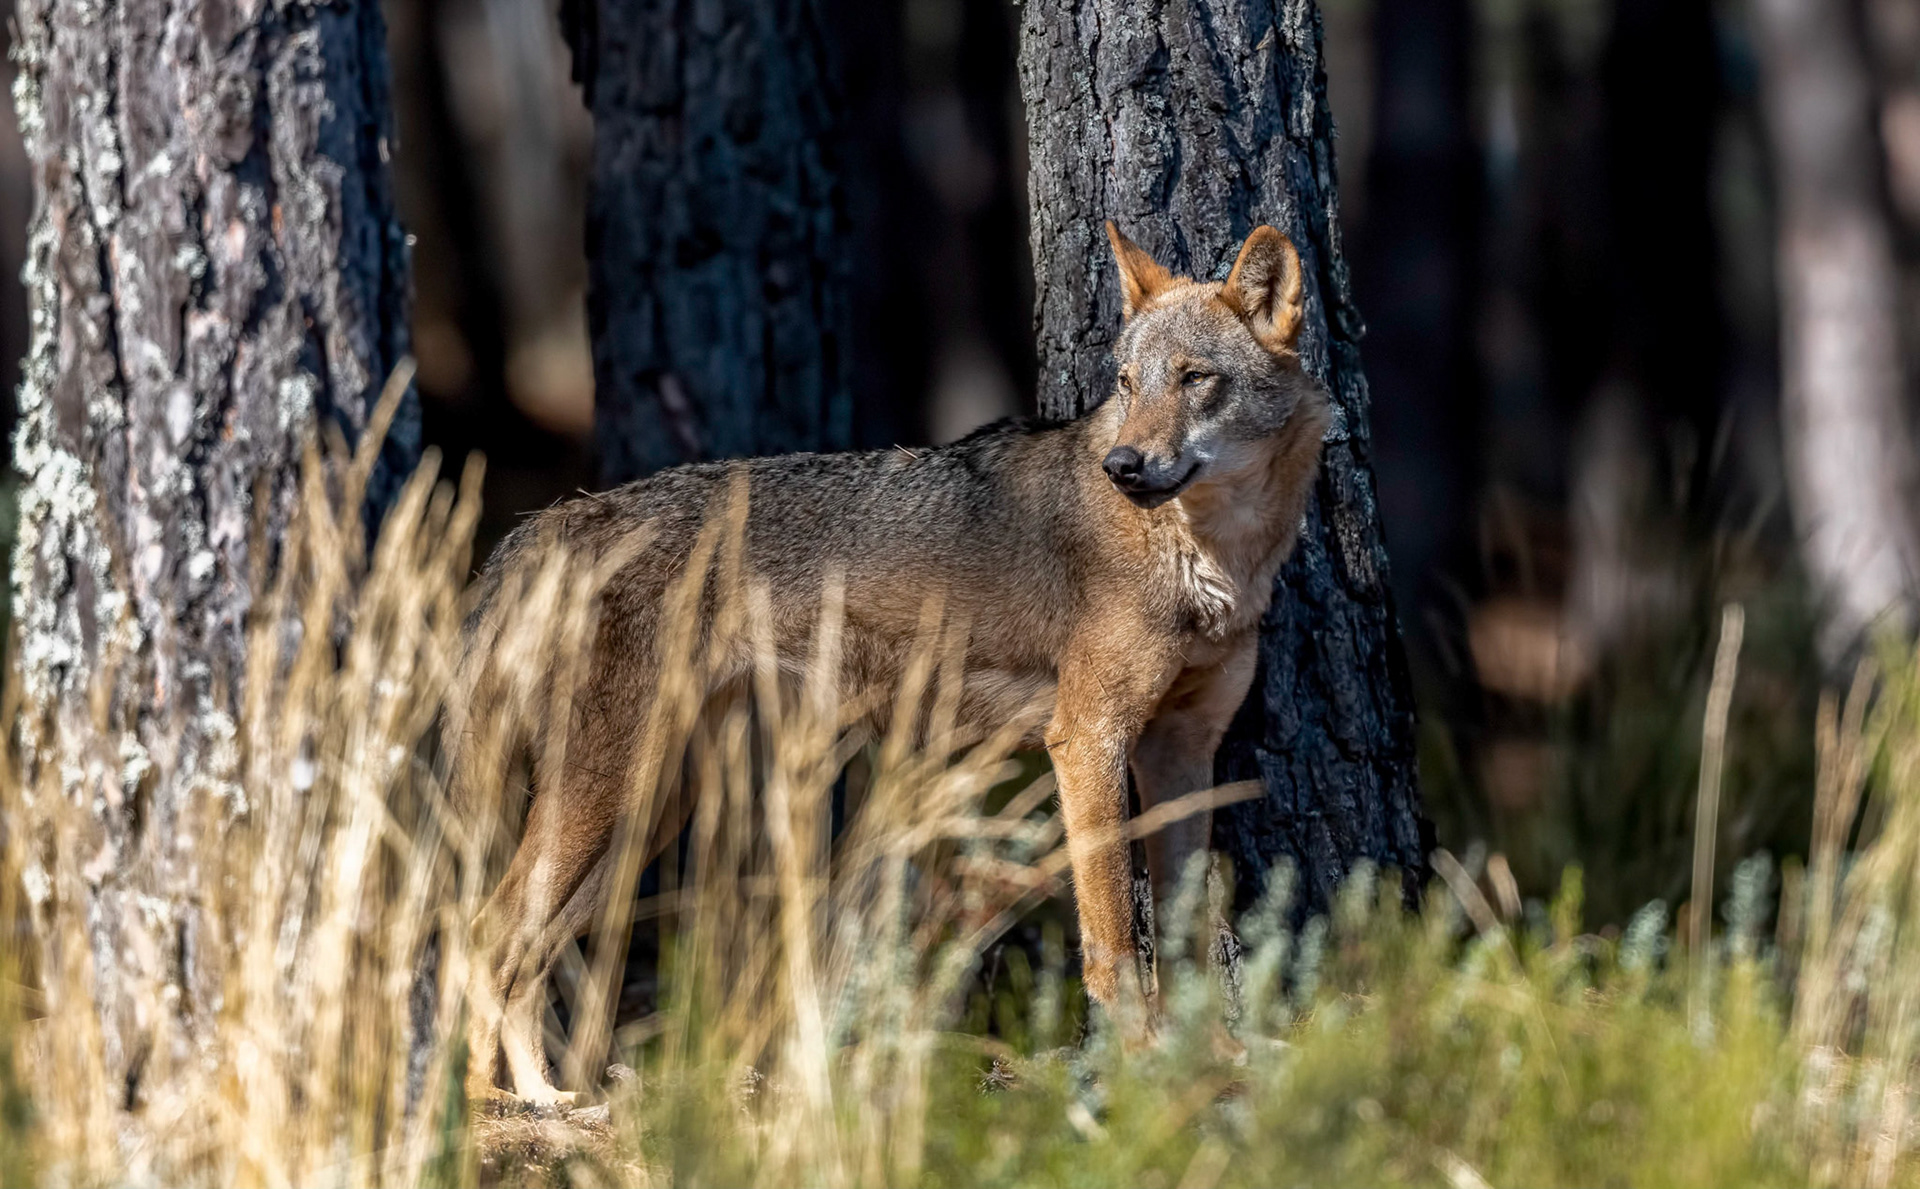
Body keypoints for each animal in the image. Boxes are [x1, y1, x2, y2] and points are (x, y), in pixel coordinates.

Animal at [453, 222, 1333, 1105]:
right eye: (1126, 383)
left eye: (1195, 379)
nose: (1122, 466)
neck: (1213, 563)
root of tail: (554, 520)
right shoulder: (1086, 740)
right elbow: (1113, 940)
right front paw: (1144, 1063)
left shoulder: (1179, 750)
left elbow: (1184, 940)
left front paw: (1209, 1057)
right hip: (610, 800)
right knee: (484, 932)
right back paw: (496, 1106)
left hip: (646, 811)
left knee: (520, 952)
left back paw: (547, 1102)